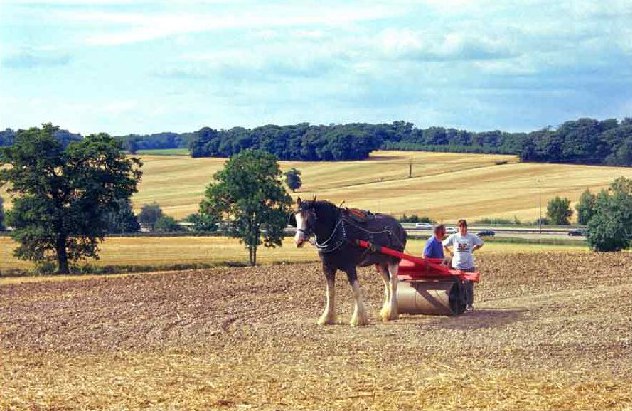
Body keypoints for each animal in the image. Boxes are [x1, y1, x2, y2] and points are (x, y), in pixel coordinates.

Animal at [294, 198, 408, 326]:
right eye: (296, 216)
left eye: (311, 217)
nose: (298, 240)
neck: (338, 231)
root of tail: (399, 226)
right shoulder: (327, 267)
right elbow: (330, 292)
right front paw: (327, 317)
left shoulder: (350, 267)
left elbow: (355, 291)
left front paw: (359, 319)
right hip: (380, 263)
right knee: (387, 284)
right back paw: (386, 311)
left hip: (394, 260)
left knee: (393, 284)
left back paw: (391, 313)